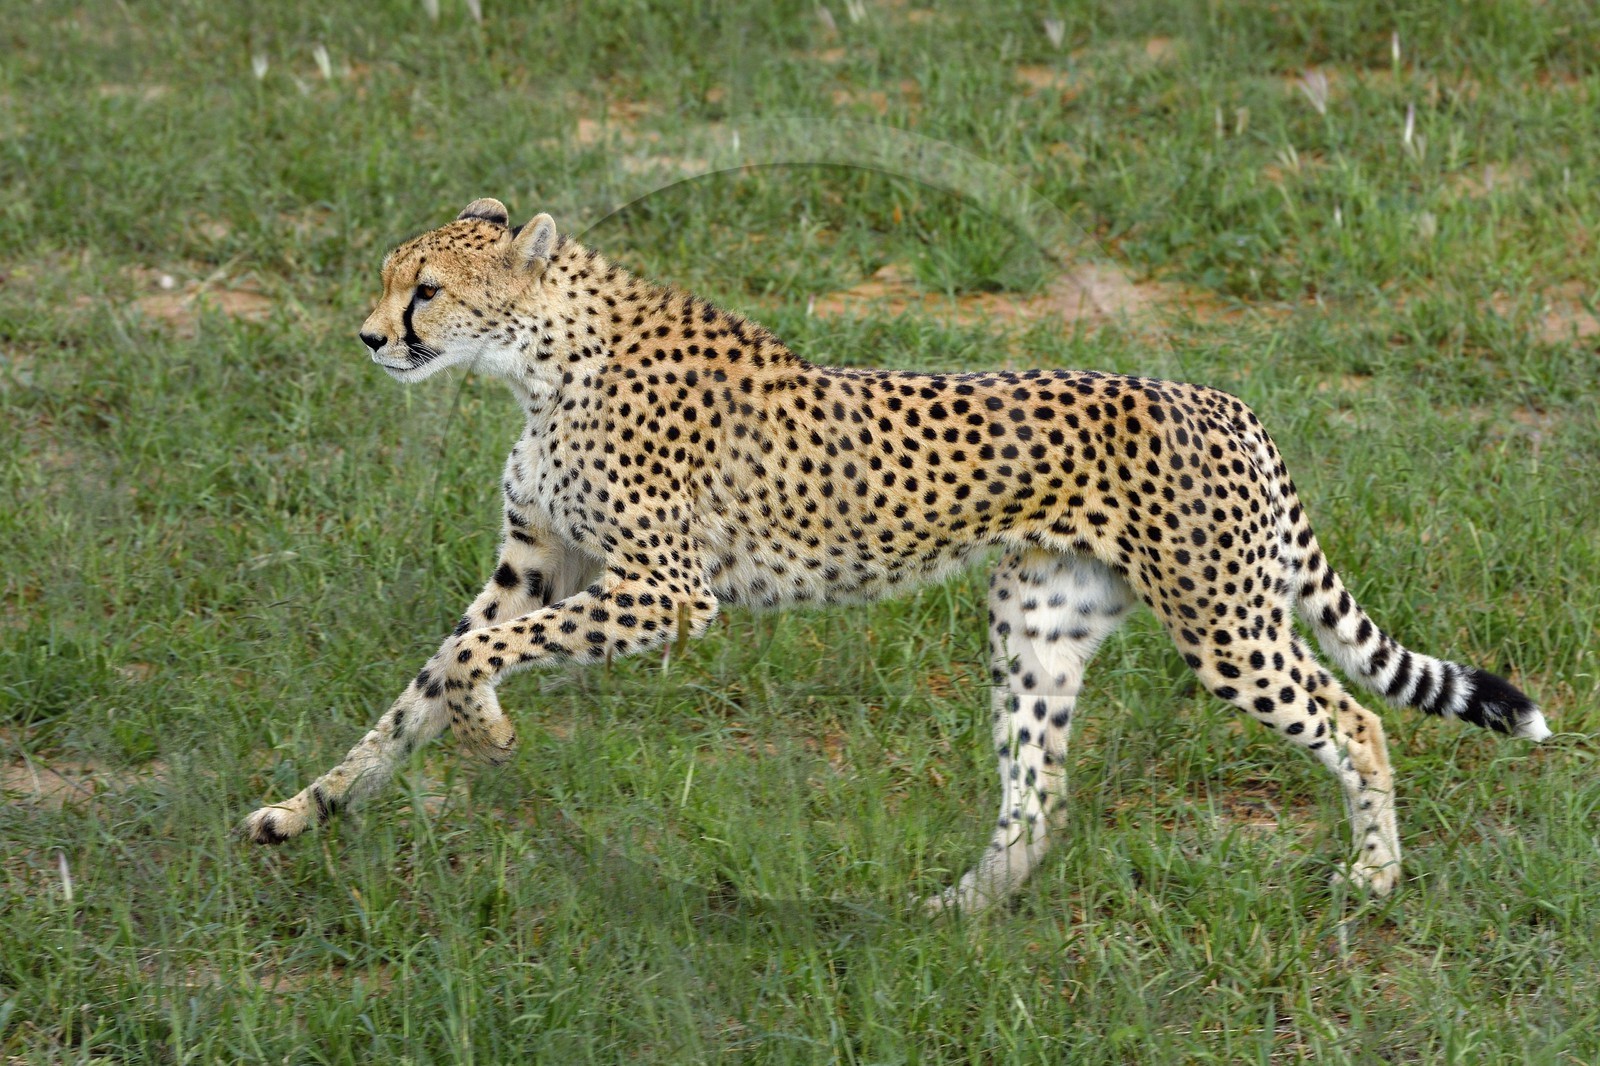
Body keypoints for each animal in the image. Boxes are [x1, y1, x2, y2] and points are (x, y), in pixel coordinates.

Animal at [243, 197, 1550, 913]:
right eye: (389, 281)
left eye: (425, 288)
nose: (369, 337)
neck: (541, 355)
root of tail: (1227, 402)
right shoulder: (535, 566)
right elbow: (417, 687)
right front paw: (304, 810)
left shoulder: (667, 595)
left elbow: (475, 665)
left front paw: (493, 730)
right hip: (1037, 628)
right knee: (1038, 793)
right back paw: (947, 916)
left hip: (1226, 630)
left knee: (1358, 721)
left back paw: (1372, 880)